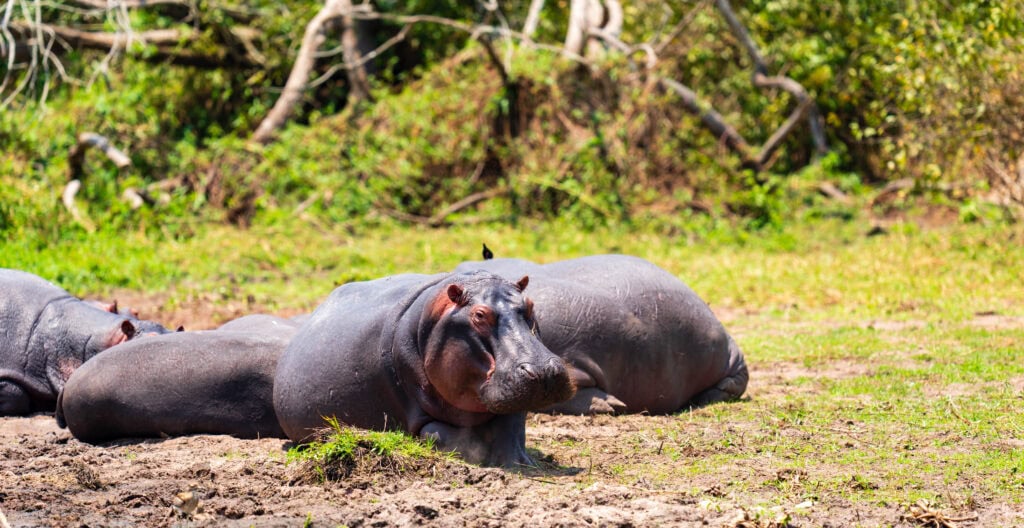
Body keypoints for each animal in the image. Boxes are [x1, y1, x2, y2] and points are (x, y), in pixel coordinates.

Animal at [274, 271, 575, 467]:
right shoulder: (419, 415)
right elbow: (441, 434)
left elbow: (511, 430)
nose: (544, 371)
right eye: (479, 315)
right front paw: (482, 452)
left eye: (531, 305)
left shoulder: (510, 402)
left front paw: (521, 462)